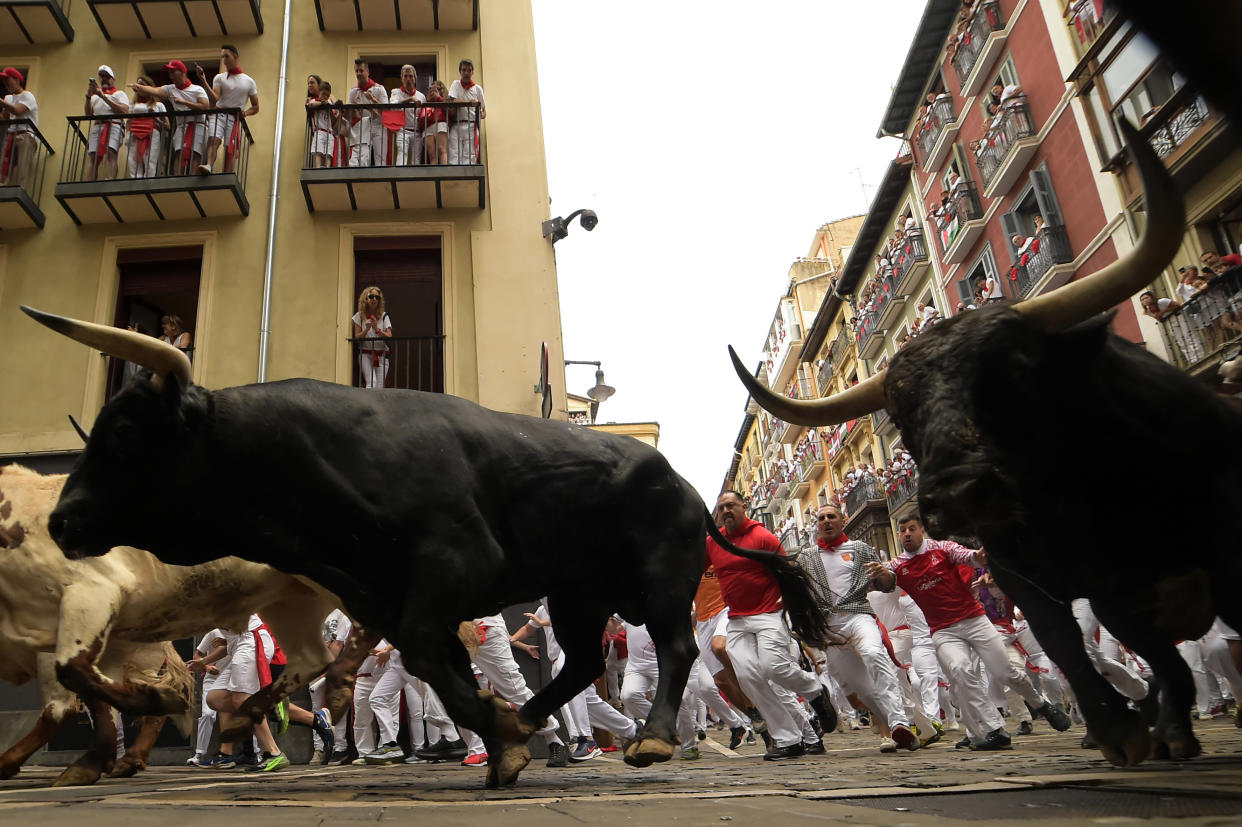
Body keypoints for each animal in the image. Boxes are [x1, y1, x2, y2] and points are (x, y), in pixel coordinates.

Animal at [14, 337, 829, 784]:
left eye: (124, 433)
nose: (61, 519)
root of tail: (688, 487)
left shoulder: (454, 564)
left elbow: (431, 658)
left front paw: (500, 743)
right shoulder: (382, 591)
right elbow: (420, 659)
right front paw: (503, 735)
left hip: (660, 580)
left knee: (677, 647)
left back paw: (652, 738)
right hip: (576, 592)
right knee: (580, 662)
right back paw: (529, 715)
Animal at [730, 124, 1242, 764]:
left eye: (1015, 367)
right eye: (899, 413)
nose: (957, 494)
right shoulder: (1032, 578)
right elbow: (1066, 648)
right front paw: (1116, 729)